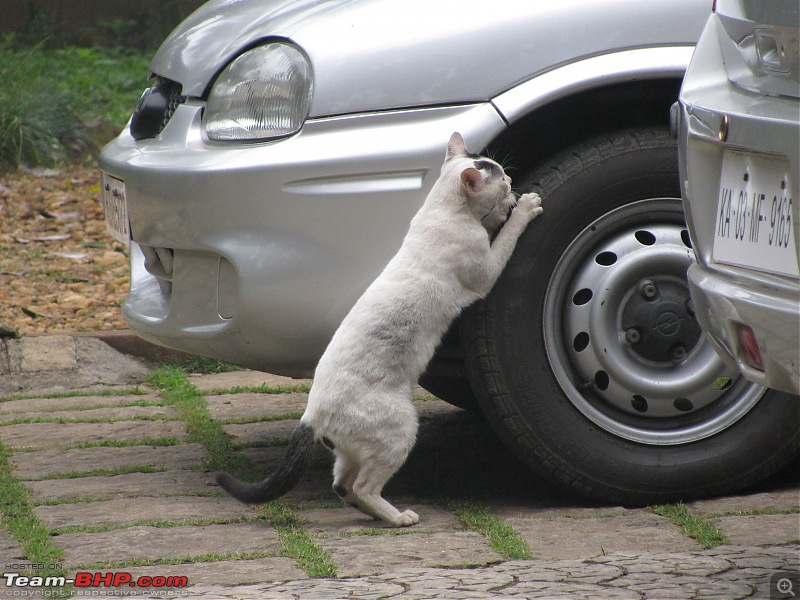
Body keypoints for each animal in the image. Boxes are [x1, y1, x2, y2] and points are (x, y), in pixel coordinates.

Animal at [217, 131, 544, 524]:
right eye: (501, 178)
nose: (511, 180)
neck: (444, 211)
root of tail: (311, 415)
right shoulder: (486, 273)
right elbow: (506, 234)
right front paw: (523, 206)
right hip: (402, 429)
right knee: (362, 487)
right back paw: (399, 518)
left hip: (355, 452)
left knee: (342, 486)